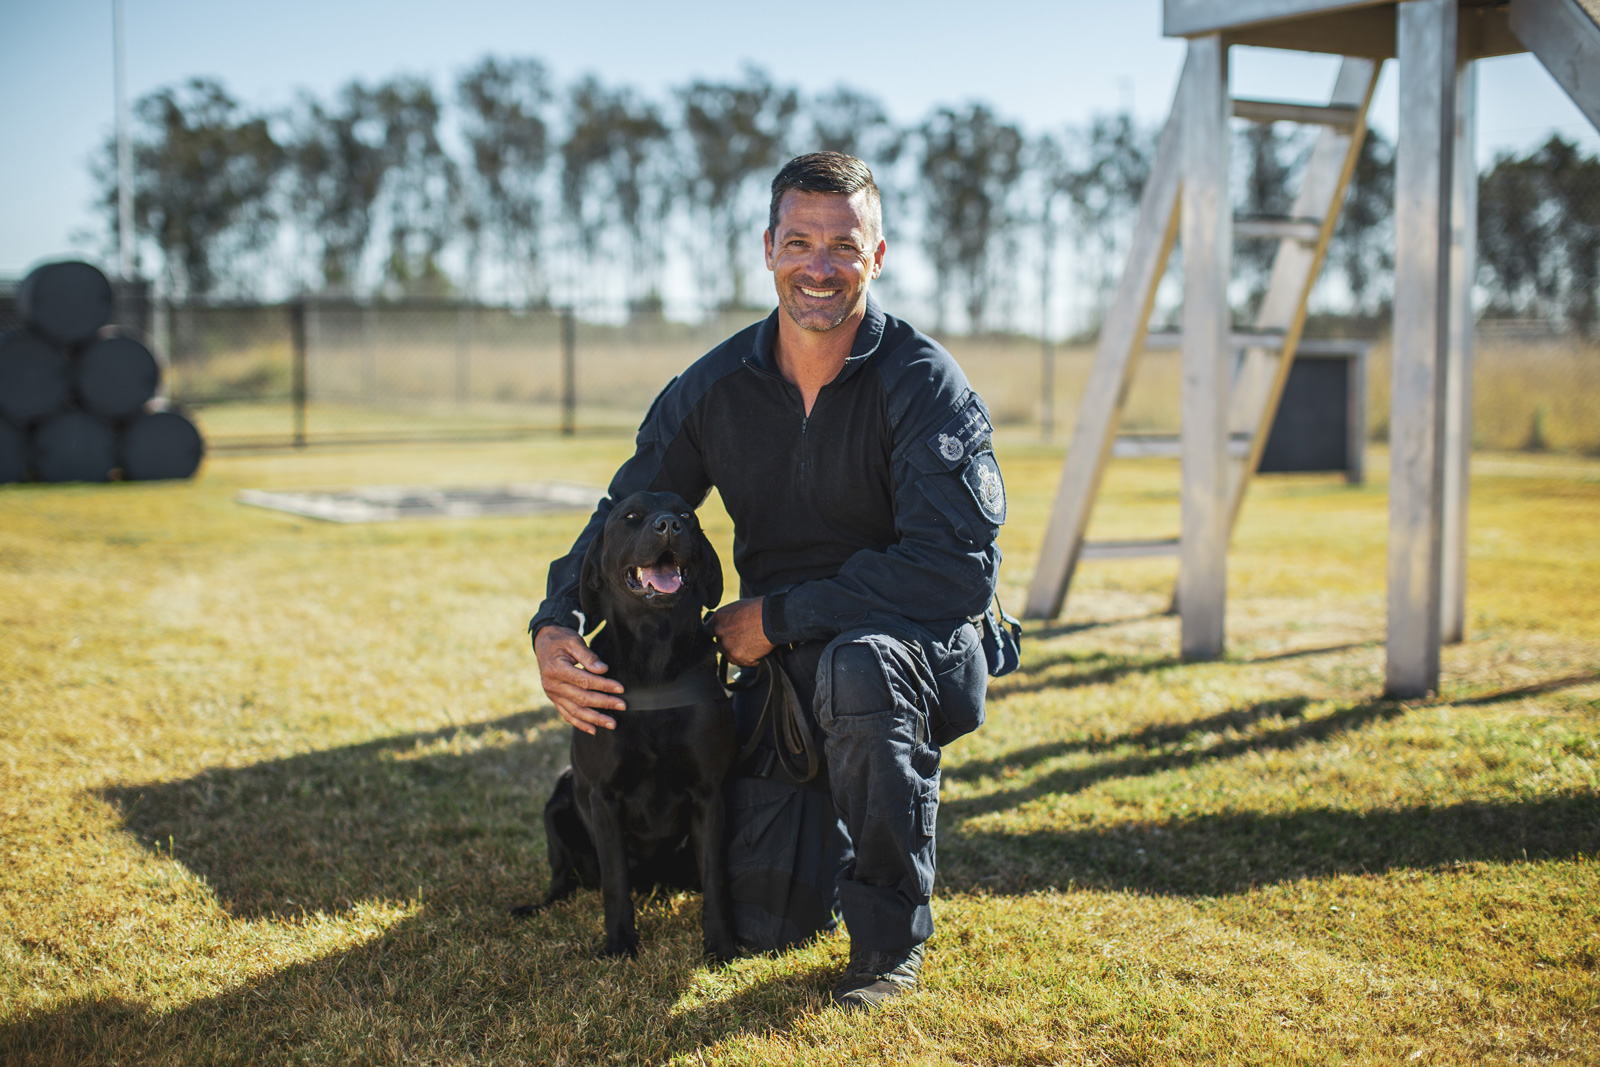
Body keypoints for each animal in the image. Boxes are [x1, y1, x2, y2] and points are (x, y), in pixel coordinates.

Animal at [521, 489, 739, 966]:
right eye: (630, 516)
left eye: (687, 515)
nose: (669, 525)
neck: (654, 653)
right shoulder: (604, 798)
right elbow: (615, 882)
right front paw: (620, 945)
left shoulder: (709, 794)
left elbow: (716, 880)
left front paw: (721, 946)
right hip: (558, 803)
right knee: (564, 878)